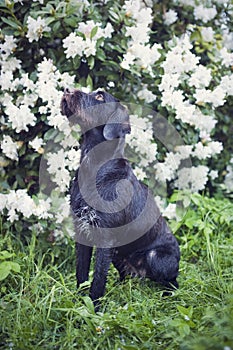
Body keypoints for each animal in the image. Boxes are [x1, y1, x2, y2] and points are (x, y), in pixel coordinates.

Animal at [60, 89, 180, 310]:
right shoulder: (82, 230)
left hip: (156, 257)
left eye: (100, 96)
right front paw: (78, 302)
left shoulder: (105, 237)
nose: (66, 90)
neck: (93, 166)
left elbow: (98, 279)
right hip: (117, 254)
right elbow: (81, 273)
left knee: (172, 282)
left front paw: (94, 309)